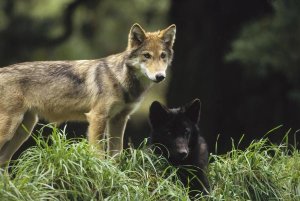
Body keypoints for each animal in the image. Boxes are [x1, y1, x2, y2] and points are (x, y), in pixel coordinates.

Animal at [0, 22, 177, 166]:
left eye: (163, 56)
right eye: (147, 56)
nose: (160, 76)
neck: (120, 78)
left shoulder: (119, 120)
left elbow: (116, 155)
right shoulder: (97, 117)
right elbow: (99, 154)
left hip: (24, 130)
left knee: (3, 161)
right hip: (11, 129)